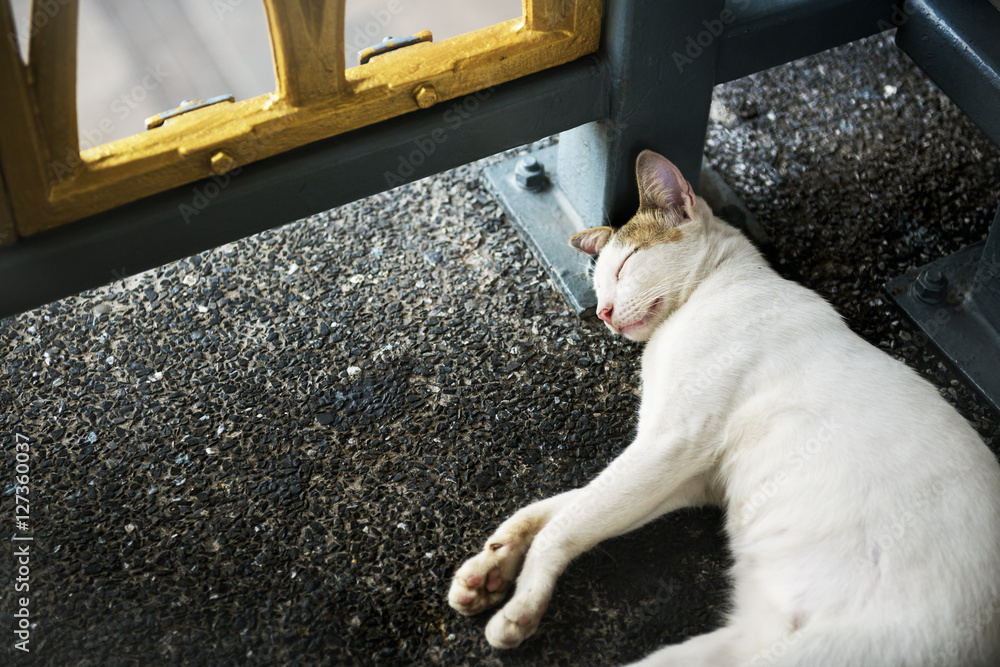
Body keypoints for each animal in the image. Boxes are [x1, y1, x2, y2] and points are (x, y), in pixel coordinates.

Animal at [450, 151, 1000, 667]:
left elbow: (566, 524)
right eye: (599, 285)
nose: (603, 313)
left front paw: (521, 604)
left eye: (625, 267)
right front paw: (493, 563)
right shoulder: (685, 473)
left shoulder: (671, 443)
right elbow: (561, 506)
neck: (705, 296)